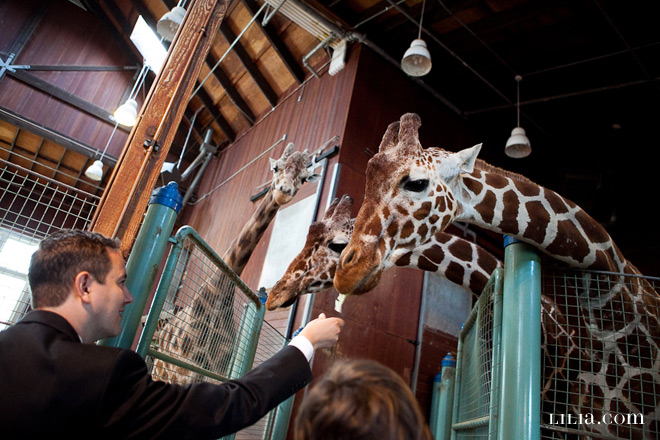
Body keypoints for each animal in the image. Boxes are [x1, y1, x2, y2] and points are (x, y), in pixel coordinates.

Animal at [151, 143, 320, 384]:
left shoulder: (213, 373)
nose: (283, 191)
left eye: (304, 178)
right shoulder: (185, 370)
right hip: (160, 370)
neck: (219, 291)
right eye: (276, 168)